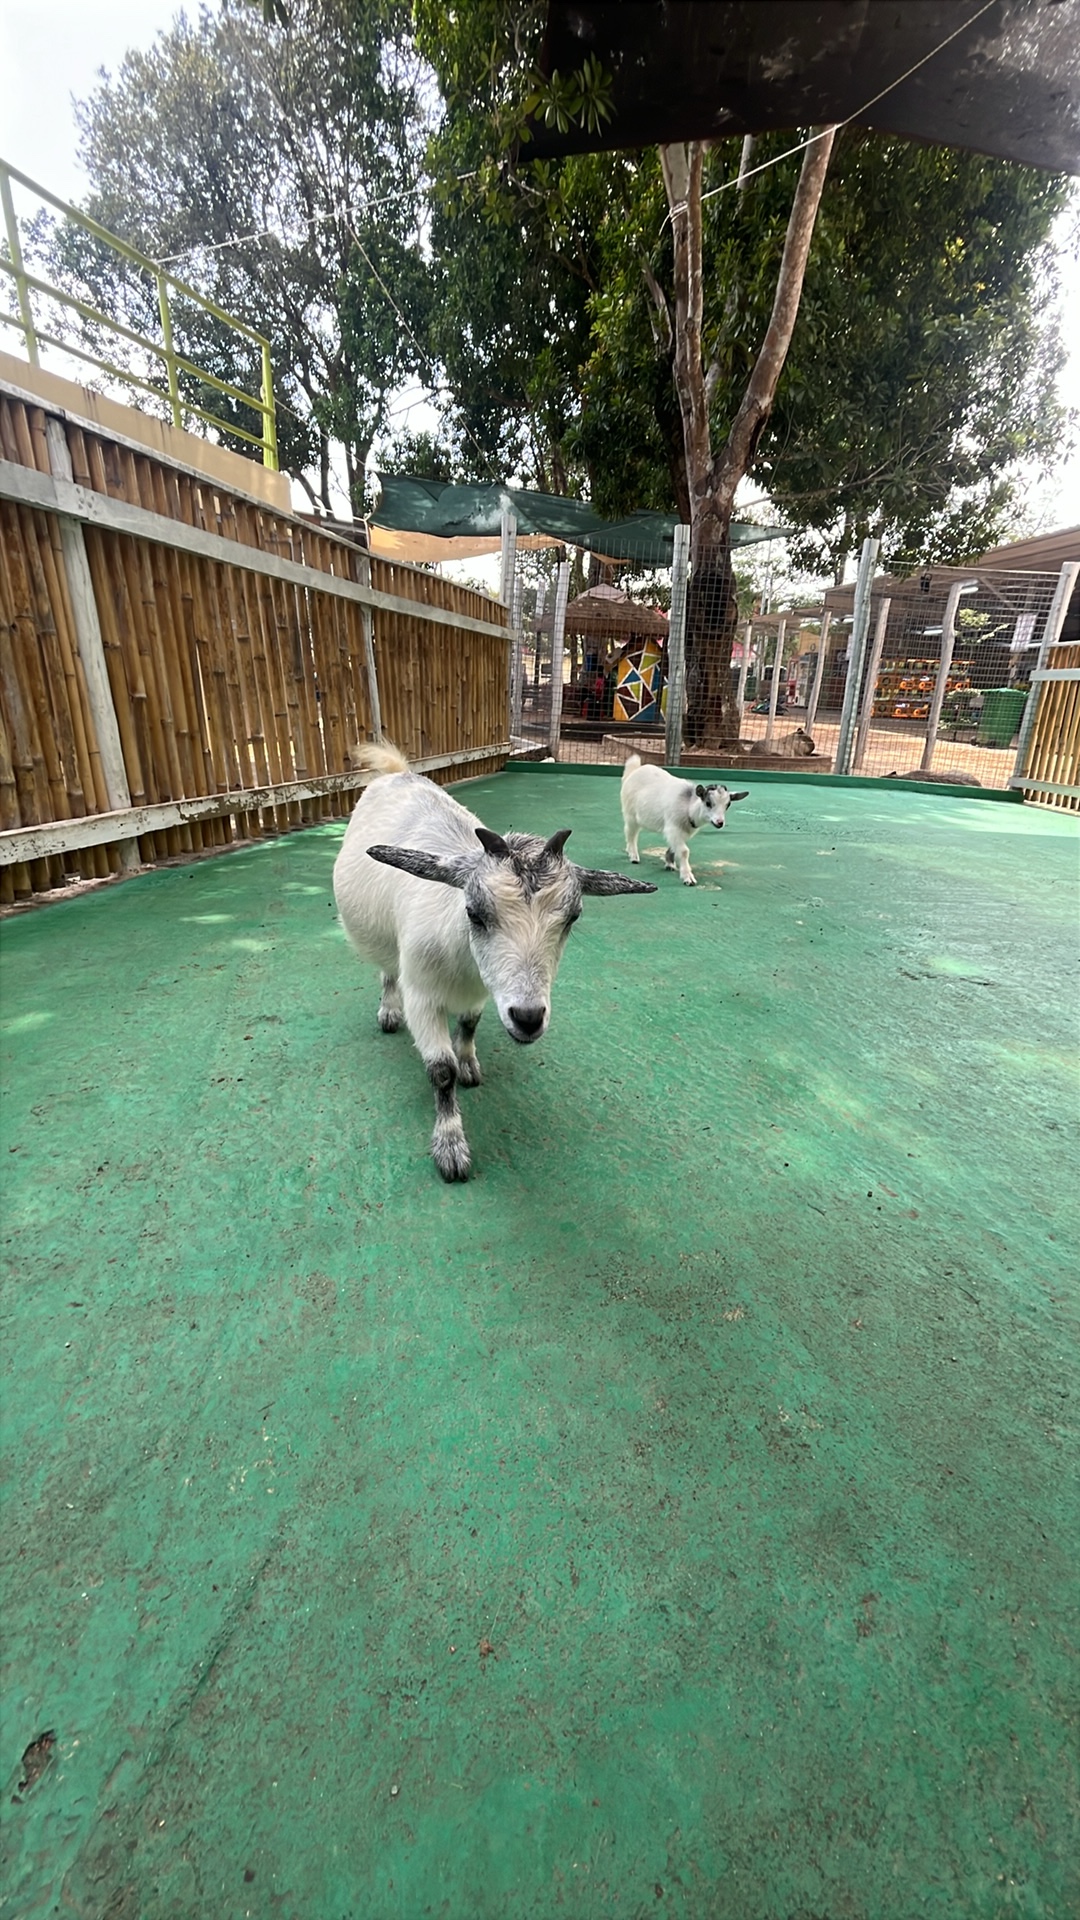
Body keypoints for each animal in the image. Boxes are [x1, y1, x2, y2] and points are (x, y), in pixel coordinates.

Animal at [333, 744, 656, 1181]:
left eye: (573, 917)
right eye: (474, 913)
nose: (528, 1018)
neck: (461, 960)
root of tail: (397, 771)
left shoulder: (485, 990)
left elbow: (469, 1025)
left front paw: (469, 1062)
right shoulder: (423, 997)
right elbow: (441, 1071)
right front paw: (451, 1147)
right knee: (387, 969)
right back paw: (388, 1011)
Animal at [620, 753, 748, 886]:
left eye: (728, 805)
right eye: (708, 803)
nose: (720, 822)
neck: (688, 806)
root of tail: (633, 771)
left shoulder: (683, 832)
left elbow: (674, 847)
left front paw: (669, 863)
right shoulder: (673, 827)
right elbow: (684, 851)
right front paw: (688, 877)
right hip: (630, 814)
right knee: (631, 833)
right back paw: (633, 856)